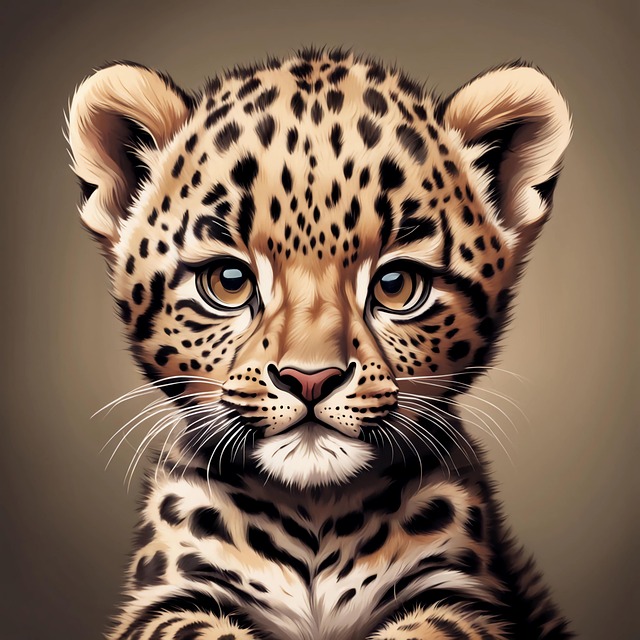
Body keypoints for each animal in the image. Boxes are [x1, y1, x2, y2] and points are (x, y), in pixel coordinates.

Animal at [67, 47, 573, 640]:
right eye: (228, 281)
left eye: (396, 285)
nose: (310, 379)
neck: (317, 511)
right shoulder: (164, 601)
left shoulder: (466, 599)